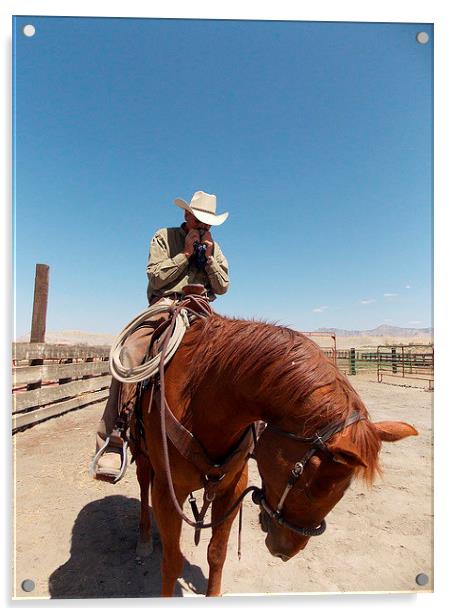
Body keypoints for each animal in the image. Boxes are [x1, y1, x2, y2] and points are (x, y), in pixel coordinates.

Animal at [131, 316, 416, 596]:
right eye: (312, 488)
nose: (287, 551)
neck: (199, 400)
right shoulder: (167, 492)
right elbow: (172, 563)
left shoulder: (232, 488)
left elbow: (217, 553)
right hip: (142, 458)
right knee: (144, 486)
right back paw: (143, 539)